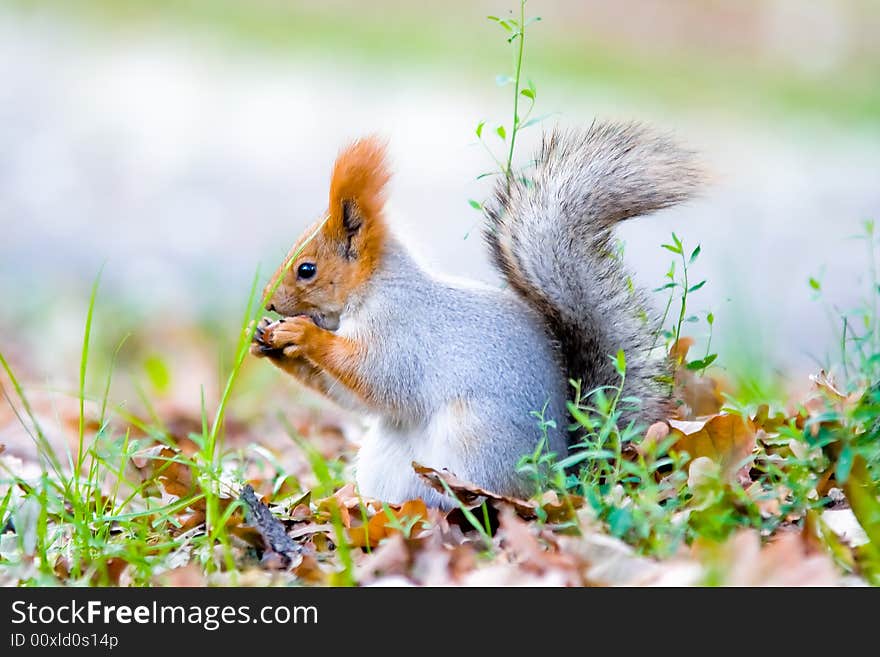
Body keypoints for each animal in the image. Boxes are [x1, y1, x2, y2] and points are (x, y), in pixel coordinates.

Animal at [251, 121, 704, 508]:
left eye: (306, 269)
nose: (269, 303)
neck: (374, 290)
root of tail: (562, 471)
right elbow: (349, 395)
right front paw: (268, 343)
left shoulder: (402, 330)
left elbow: (376, 376)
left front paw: (303, 335)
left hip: (473, 440)